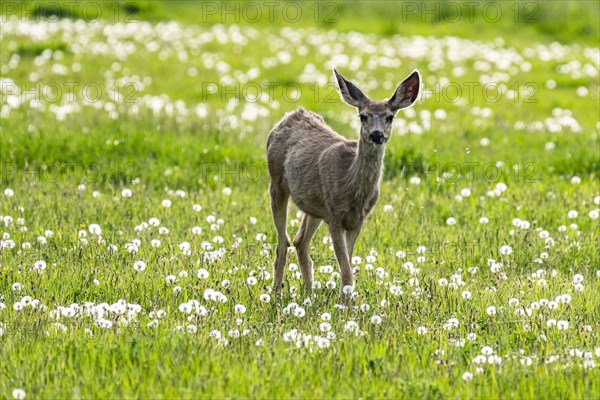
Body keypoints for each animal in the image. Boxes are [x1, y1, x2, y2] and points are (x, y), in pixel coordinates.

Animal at [268, 68, 422, 300]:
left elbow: (347, 266)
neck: (352, 190)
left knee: (300, 241)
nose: (376, 135)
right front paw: (344, 305)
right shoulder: (334, 216)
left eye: (390, 117)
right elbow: (347, 271)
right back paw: (276, 294)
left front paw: (346, 303)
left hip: (313, 206)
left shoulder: (357, 220)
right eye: (362, 116)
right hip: (276, 184)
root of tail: (292, 115)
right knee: (282, 244)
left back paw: (308, 294)